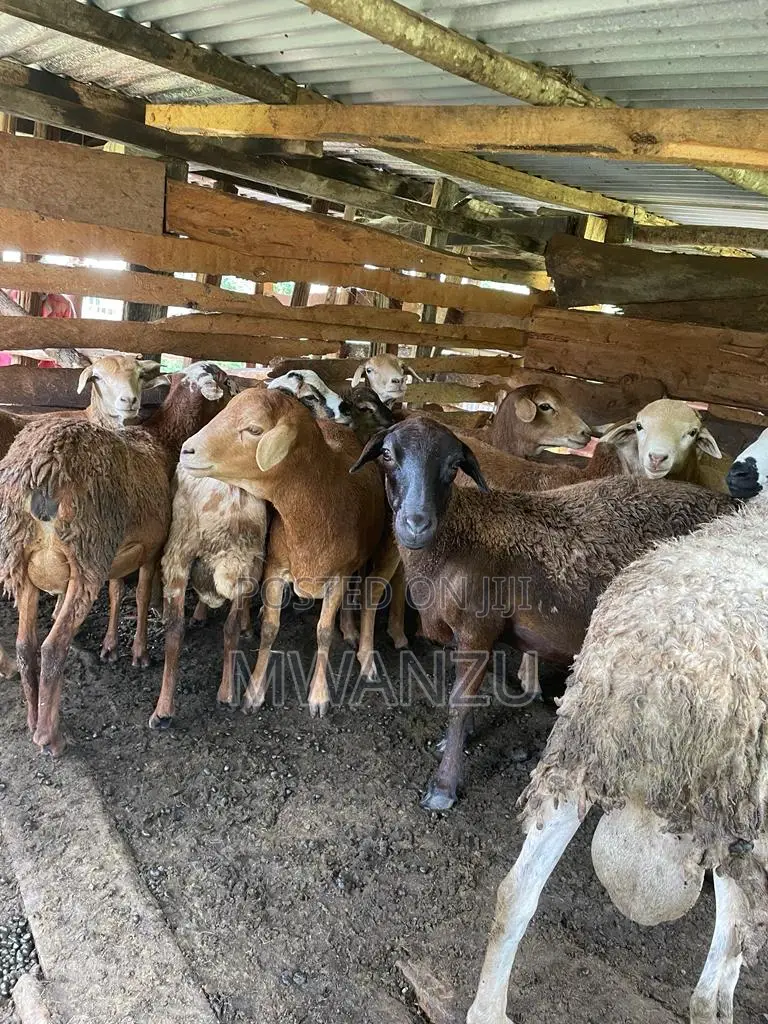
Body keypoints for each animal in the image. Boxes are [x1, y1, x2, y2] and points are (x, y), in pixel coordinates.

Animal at [0, 362, 233, 755]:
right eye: (228, 383)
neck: (162, 439)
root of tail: (39, 470)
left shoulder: (119, 553)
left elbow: (116, 593)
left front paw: (109, 648)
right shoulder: (152, 548)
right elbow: (139, 595)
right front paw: (139, 653)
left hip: (22, 562)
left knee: (25, 646)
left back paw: (33, 718)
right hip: (84, 556)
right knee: (53, 648)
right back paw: (49, 737)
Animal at [179, 388, 395, 716]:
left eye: (254, 429)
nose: (185, 450)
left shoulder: (337, 577)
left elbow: (323, 632)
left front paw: (318, 696)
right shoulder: (275, 570)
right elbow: (270, 628)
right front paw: (254, 691)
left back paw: (349, 628)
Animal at [351, 417, 737, 811]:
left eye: (453, 465)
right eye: (386, 455)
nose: (416, 524)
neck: (457, 539)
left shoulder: (477, 628)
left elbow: (459, 702)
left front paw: (443, 787)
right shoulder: (471, 636)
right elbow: (471, 692)